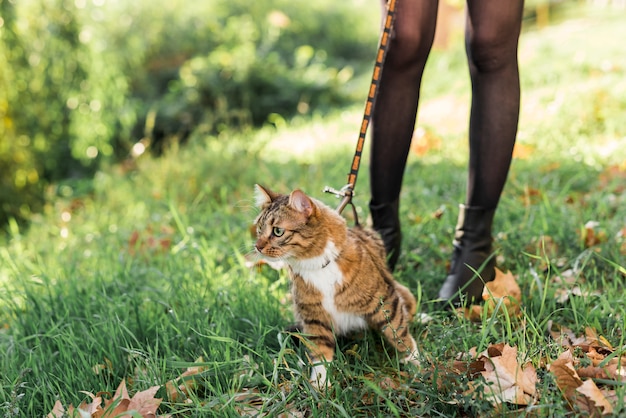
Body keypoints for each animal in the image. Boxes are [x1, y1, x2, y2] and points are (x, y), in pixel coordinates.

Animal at [251, 185, 416, 386]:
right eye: (259, 229)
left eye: (277, 231)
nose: (257, 247)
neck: (315, 265)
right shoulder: (314, 317)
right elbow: (320, 353)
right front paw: (321, 384)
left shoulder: (384, 301)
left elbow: (398, 331)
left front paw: (415, 361)